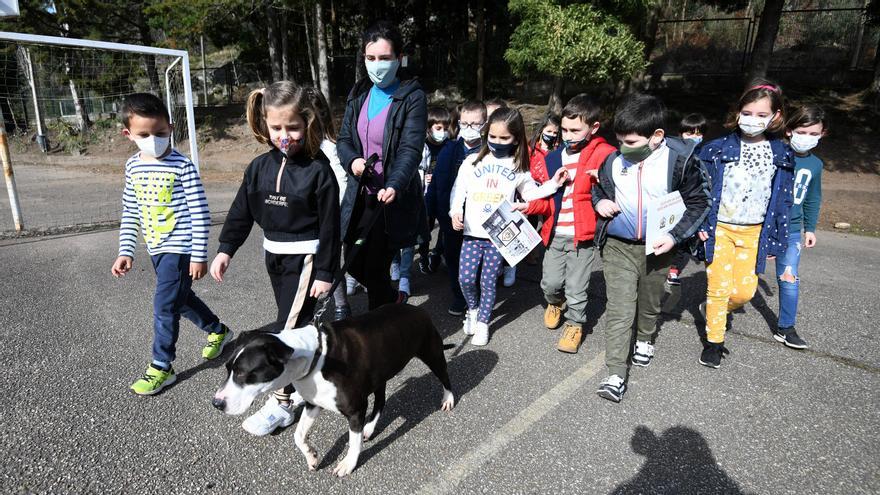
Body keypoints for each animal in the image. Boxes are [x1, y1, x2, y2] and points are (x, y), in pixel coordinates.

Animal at [211, 304, 454, 478]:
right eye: (228, 369)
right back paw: (369, 428)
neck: (315, 356)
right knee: (381, 400)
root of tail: (418, 309)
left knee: (445, 376)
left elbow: (353, 442)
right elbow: (298, 435)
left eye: (243, 373)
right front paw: (311, 456)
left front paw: (348, 464)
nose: (216, 403)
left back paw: (448, 399)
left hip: (431, 352)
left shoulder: (355, 409)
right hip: (380, 373)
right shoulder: (313, 402)